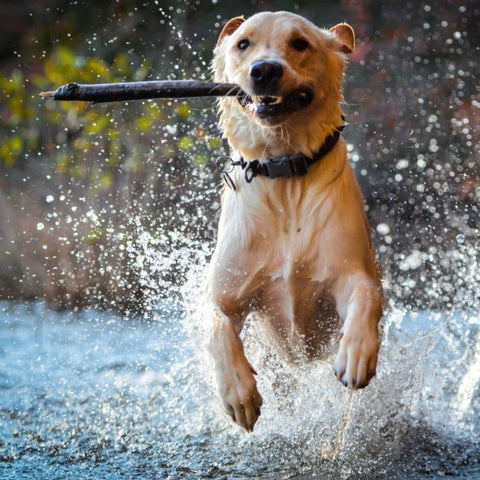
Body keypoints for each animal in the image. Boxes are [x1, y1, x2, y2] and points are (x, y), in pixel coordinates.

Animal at [205, 11, 382, 434]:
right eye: (243, 44)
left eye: (300, 43)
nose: (265, 70)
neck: (283, 171)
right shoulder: (223, 292)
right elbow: (216, 326)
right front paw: (238, 391)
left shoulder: (349, 273)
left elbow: (367, 294)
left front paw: (357, 353)